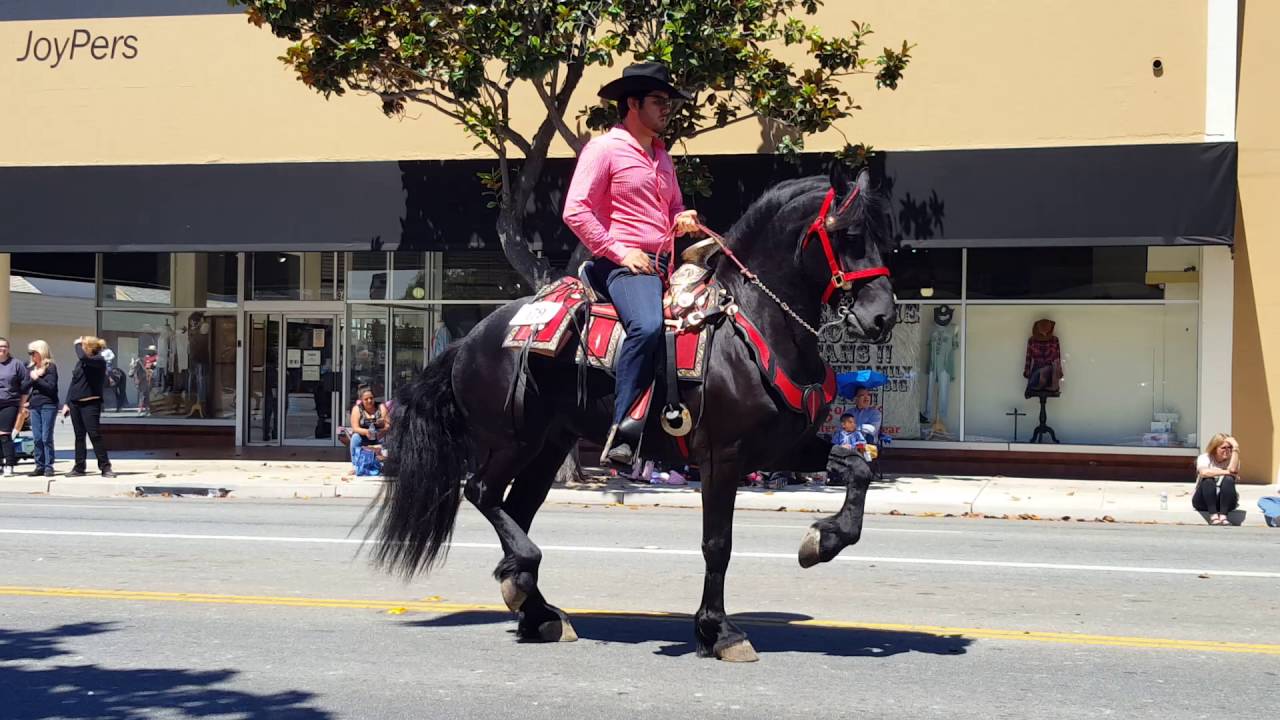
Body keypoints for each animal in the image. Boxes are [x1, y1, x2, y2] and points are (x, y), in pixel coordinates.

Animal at [371, 162, 890, 661]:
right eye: (849, 235)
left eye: (880, 236)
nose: (883, 316)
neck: (754, 329)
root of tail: (468, 340)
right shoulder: (722, 456)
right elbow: (717, 544)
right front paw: (719, 631)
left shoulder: (784, 447)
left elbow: (858, 467)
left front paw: (822, 541)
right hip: (512, 440)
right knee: (481, 491)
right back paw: (524, 577)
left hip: (548, 445)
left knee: (514, 506)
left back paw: (536, 609)